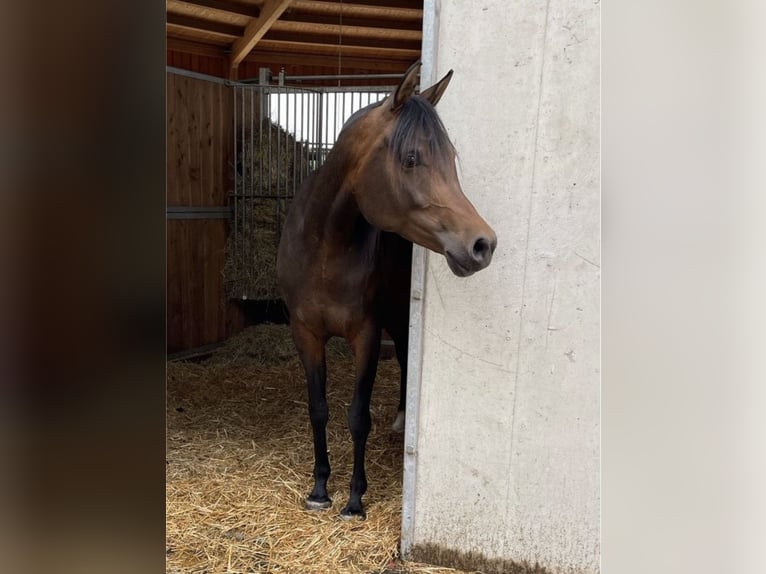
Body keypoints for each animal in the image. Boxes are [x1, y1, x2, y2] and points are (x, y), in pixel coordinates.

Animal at [276, 63, 498, 520]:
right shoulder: (305, 333)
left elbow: (358, 416)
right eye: (411, 158)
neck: (324, 251)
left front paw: (354, 499)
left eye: (451, 158)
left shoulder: (366, 334)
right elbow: (318, 409)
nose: (482, 245)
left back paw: (400, 420)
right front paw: (319, 489)